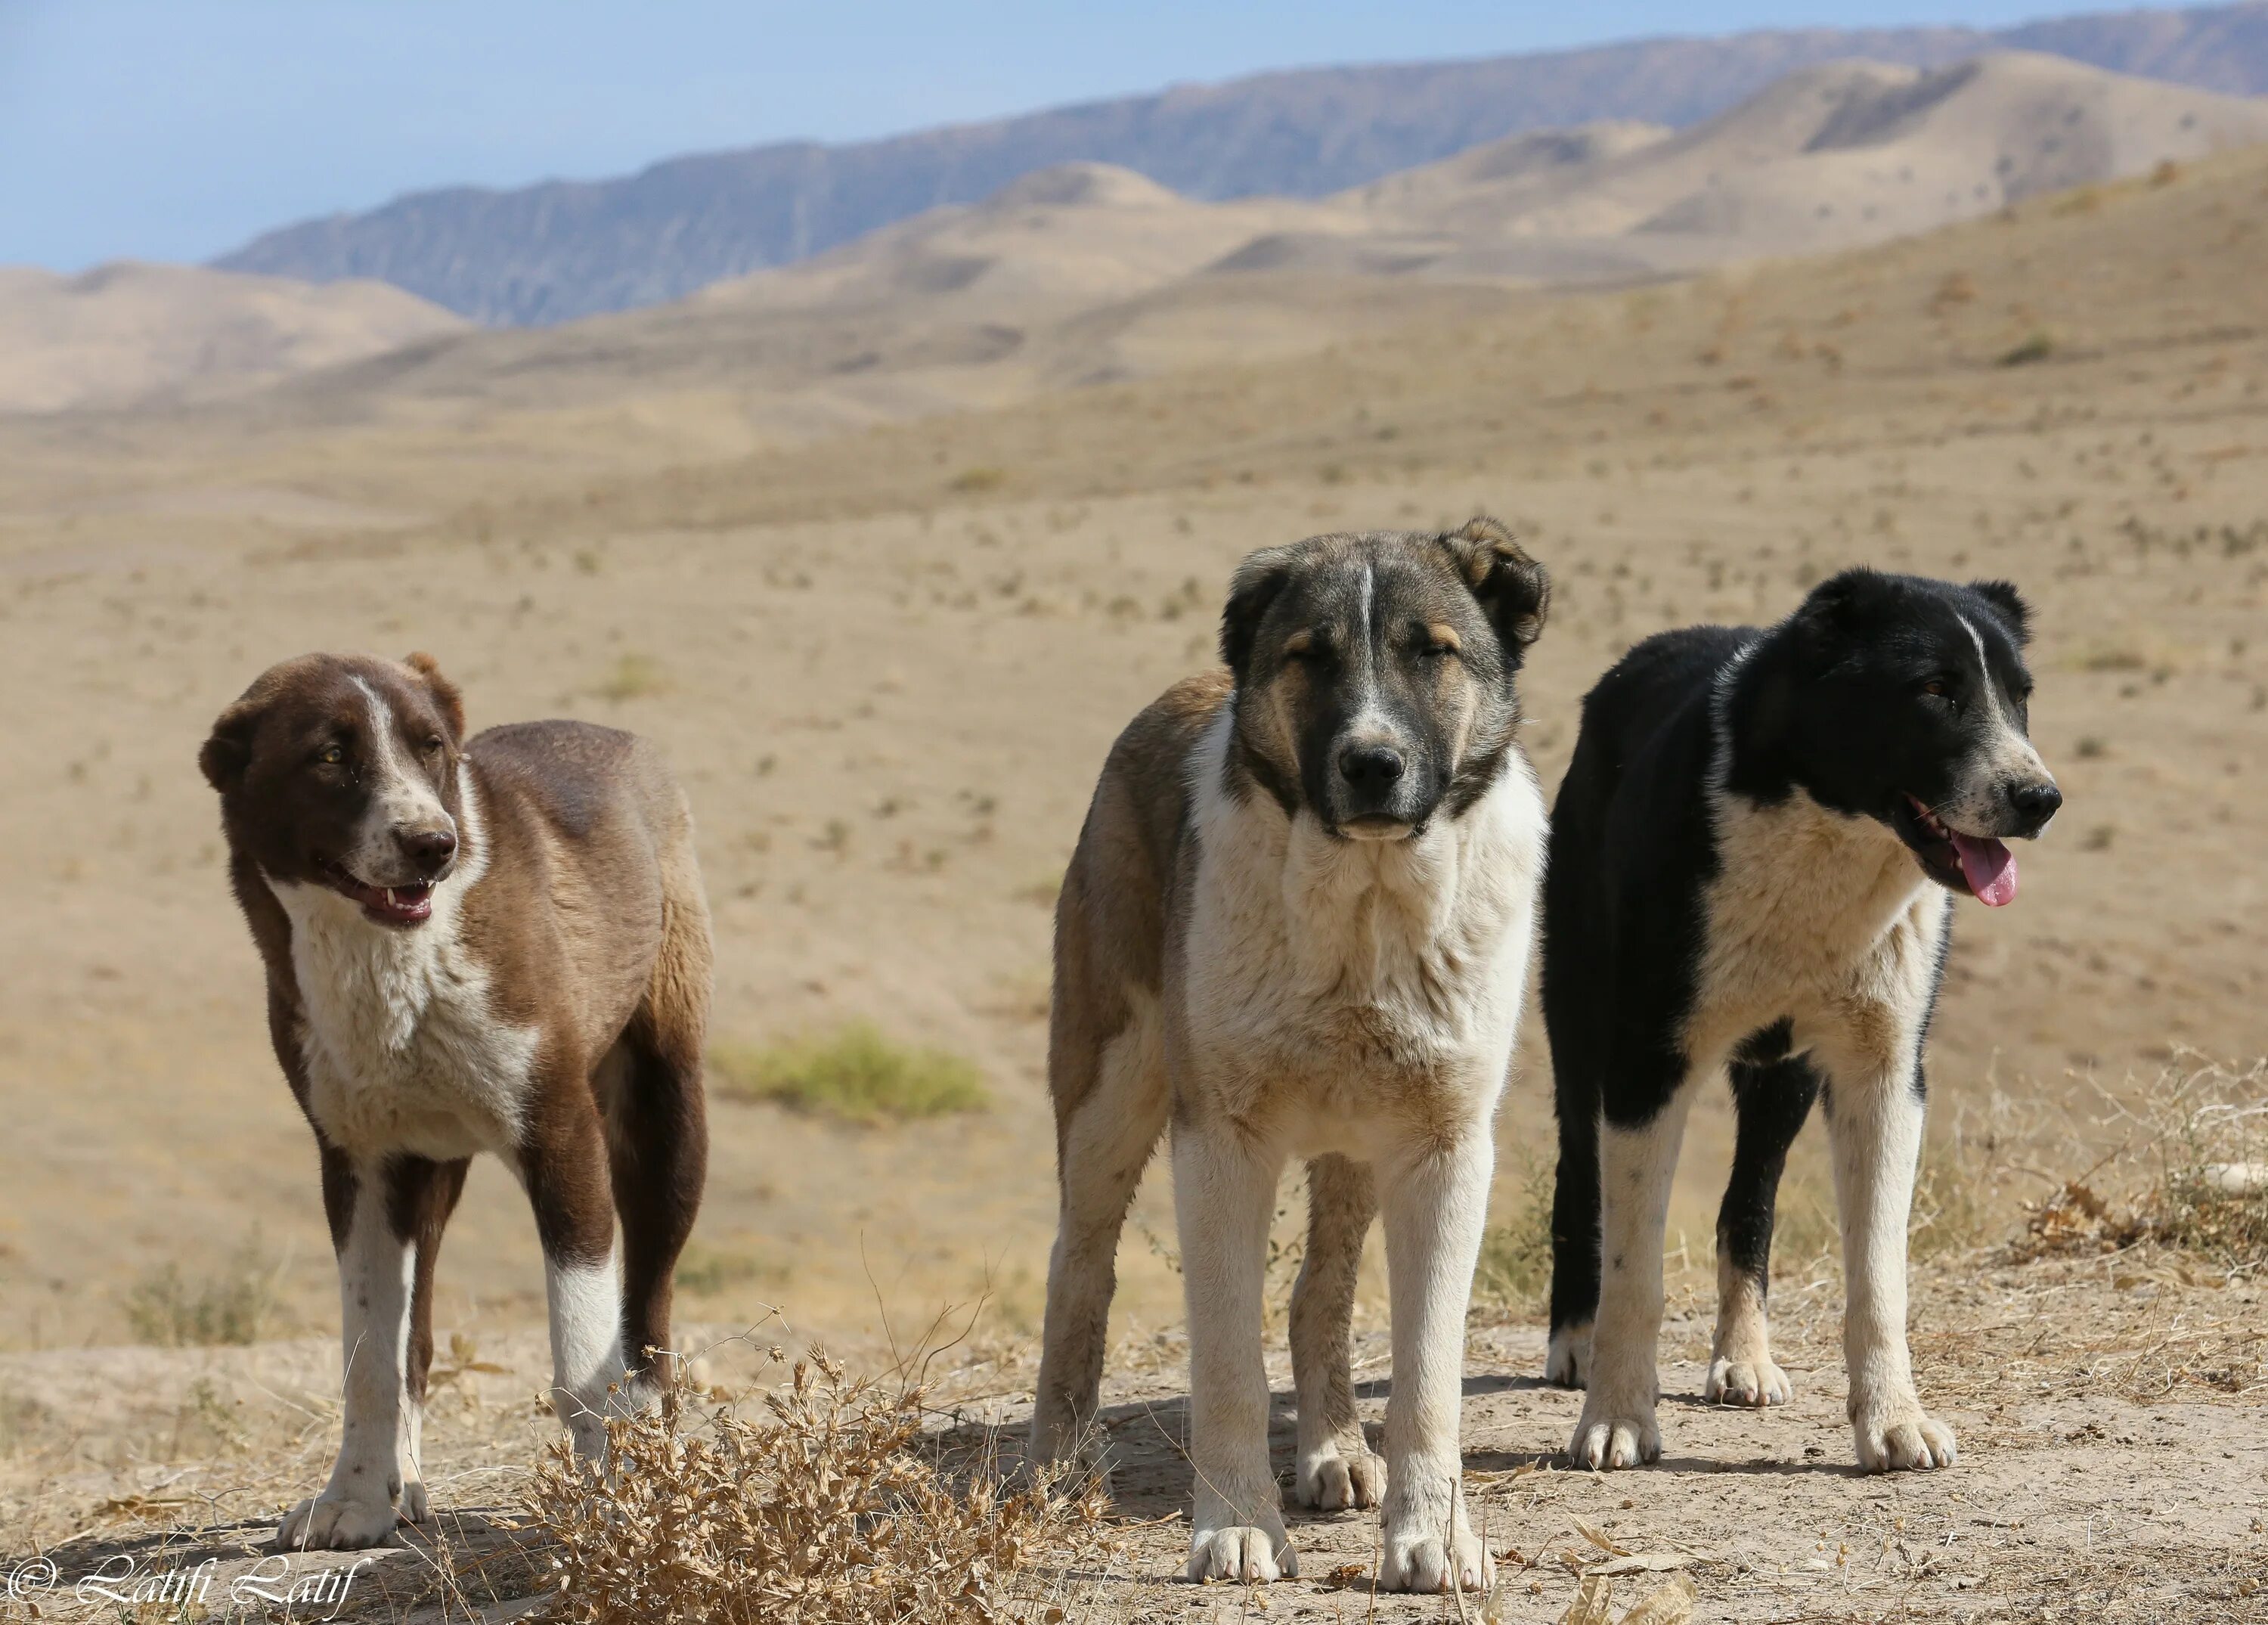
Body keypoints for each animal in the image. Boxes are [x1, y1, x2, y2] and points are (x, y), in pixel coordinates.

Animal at [211, 658, 717, 1552]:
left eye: (432, 747)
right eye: (329, 756)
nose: (434, 844)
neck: (393, 963)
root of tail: (620, 737)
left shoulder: (563, 1139)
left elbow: (581, 1355)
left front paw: (609, 1506)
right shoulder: (359, 1166)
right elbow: (370, 1360)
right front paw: (356, 1498)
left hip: (668, 1125)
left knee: (649, 1312)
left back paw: (652, 1443)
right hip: (429, 1175)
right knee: (414, 1342)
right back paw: (403, 1483)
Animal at [1034, 526, 1551, 1597]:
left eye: (1432, 651)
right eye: (1310, 655)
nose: (1372, 763)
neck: (1365, 907)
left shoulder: (1444, 1147)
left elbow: (1428, 1371)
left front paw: (1434, 1536)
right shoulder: (1221, 1143)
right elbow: (1227, 1364)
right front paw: (1237, 1527)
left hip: (1354, 1145)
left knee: (1322, 1293)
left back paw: (1336, 1449)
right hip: (1111, 1092)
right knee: (1080, 1266)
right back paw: (1058, 1459)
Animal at [1542, 567, 2059, 1470]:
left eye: (2021, 695)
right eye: (1935, 692)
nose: (2041, 799)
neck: (1826, 836)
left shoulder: (1885, 1074)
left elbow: (1878, 1276)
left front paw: (1894, 1421)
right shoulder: (1646, 1064)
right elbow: (1635, 1270)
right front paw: (1618, 1420)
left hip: (1780, 1076)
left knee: (1746, 1208)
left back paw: (1743, 1358)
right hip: (1578, 1025)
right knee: (1581, 1181)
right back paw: (1573, 1340)